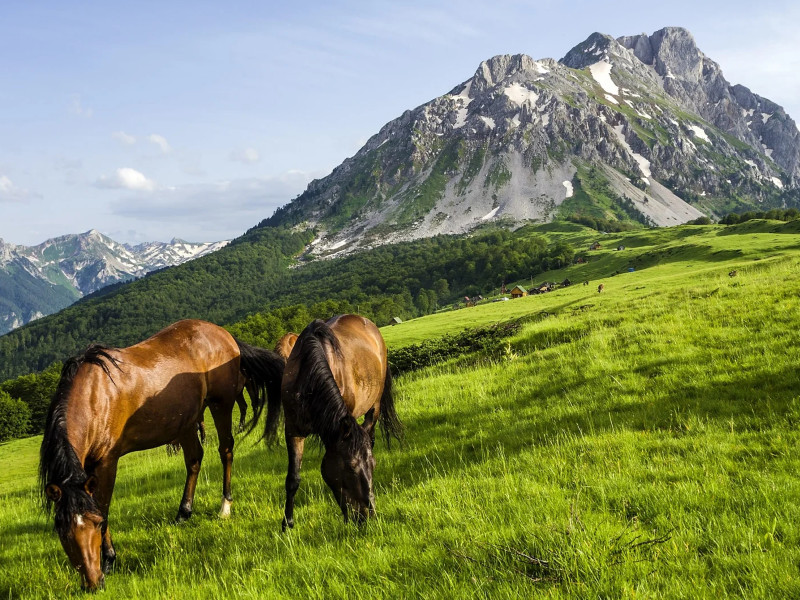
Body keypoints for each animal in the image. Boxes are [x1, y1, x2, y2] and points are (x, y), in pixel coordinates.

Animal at [40, 318, 286, 592]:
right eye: (62, 531)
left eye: (96, 523)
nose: (93, 584)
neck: (94, 396)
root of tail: (225, 334)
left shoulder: (106, 463)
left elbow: (103, 506)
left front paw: (110, 559)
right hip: (187, 420)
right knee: (194, 459)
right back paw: (183, 512)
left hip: (220, 404)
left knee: (226, 450)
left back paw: (225, 506)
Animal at [270, 314, 406, 528]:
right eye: (350, 467)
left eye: (373, 465)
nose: (368, 516)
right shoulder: (293, 430)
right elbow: (293, 478)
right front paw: (287, 524)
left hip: (374, 406)